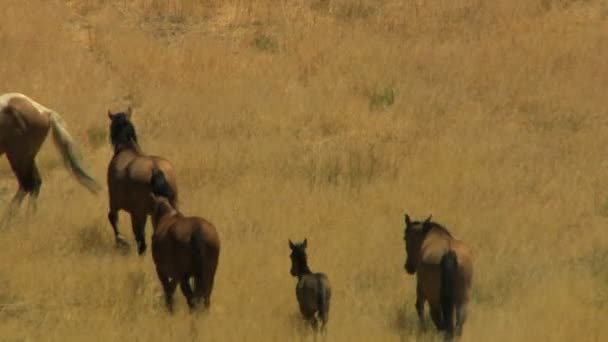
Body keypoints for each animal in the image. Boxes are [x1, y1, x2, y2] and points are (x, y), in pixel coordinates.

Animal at [106, 108, 178, 255]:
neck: (127, 148)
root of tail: (155, 168)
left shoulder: (114, 202)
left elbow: (112, 217)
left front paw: (121, 241)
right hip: (172, 203)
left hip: (139, 214)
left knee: (141, 241)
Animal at [150, 168, 221, 312]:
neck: (167, 215)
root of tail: (199, 231)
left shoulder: (162, 271)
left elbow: (168, 291)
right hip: (209, 273)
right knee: (205, 297)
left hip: (185, 275)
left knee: (191, 297)